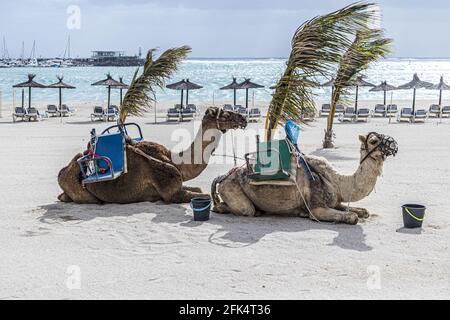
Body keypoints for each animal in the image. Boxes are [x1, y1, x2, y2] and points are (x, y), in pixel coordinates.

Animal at [58, 106, 248, 204]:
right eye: (226, 113)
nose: (244, 118)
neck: (175, 161)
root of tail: (61, 173)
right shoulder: (171, 193)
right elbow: (205, 194)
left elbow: (199, 189)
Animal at [211, 132, 398, 225]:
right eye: (373, 140)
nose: (394, 146)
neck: (338, 182)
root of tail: (224, 176)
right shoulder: (316, 208)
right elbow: (352, 217)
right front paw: (304, 214)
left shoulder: (334, 201)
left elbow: (362, 211)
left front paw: (361, 211)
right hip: (231, 188)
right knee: (244, 209)